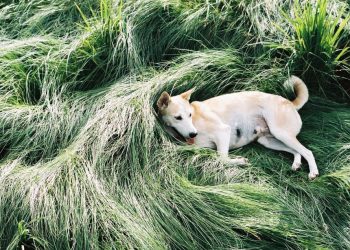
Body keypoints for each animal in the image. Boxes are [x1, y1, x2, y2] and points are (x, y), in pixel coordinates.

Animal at [159, 75, 320, 179]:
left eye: (190, 115)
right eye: (178, 117)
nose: (193, 134)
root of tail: (289, 102)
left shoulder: (223, 131)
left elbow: (222, 158)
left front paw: (239, 161)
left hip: (281, 133)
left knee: (308, 152)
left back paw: (313, 172)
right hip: (268, 141)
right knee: (297, 151)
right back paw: (296, 163)